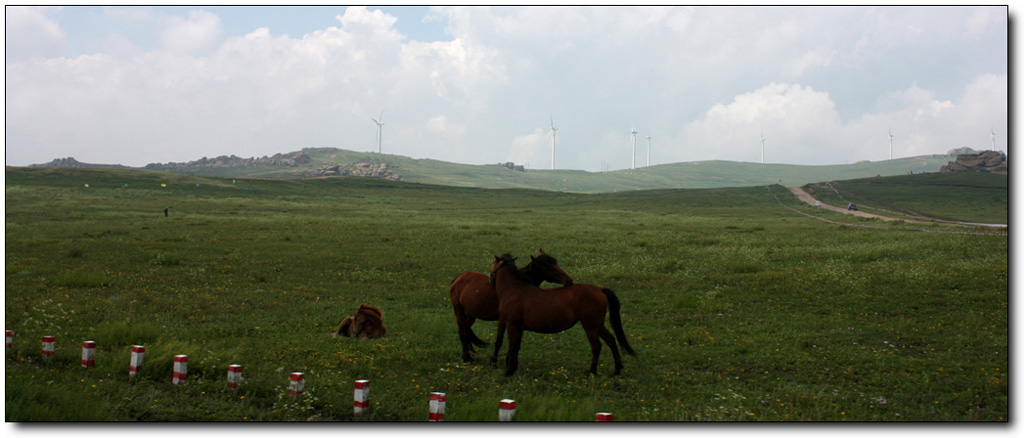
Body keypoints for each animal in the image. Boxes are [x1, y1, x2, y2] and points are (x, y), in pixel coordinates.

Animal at [485, 252, 630, 376]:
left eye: (493, 264)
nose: (490, 280)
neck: (514, 289)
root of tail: (600, 289)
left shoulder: (512, 325)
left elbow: (512, 347)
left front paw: (508, 370)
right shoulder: (517, 326)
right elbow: (516, 347)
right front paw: (513, 368)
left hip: (590, 326)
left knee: (596, 346)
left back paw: (592, 372)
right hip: (598, 325)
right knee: (611, 340)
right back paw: (617, 370)